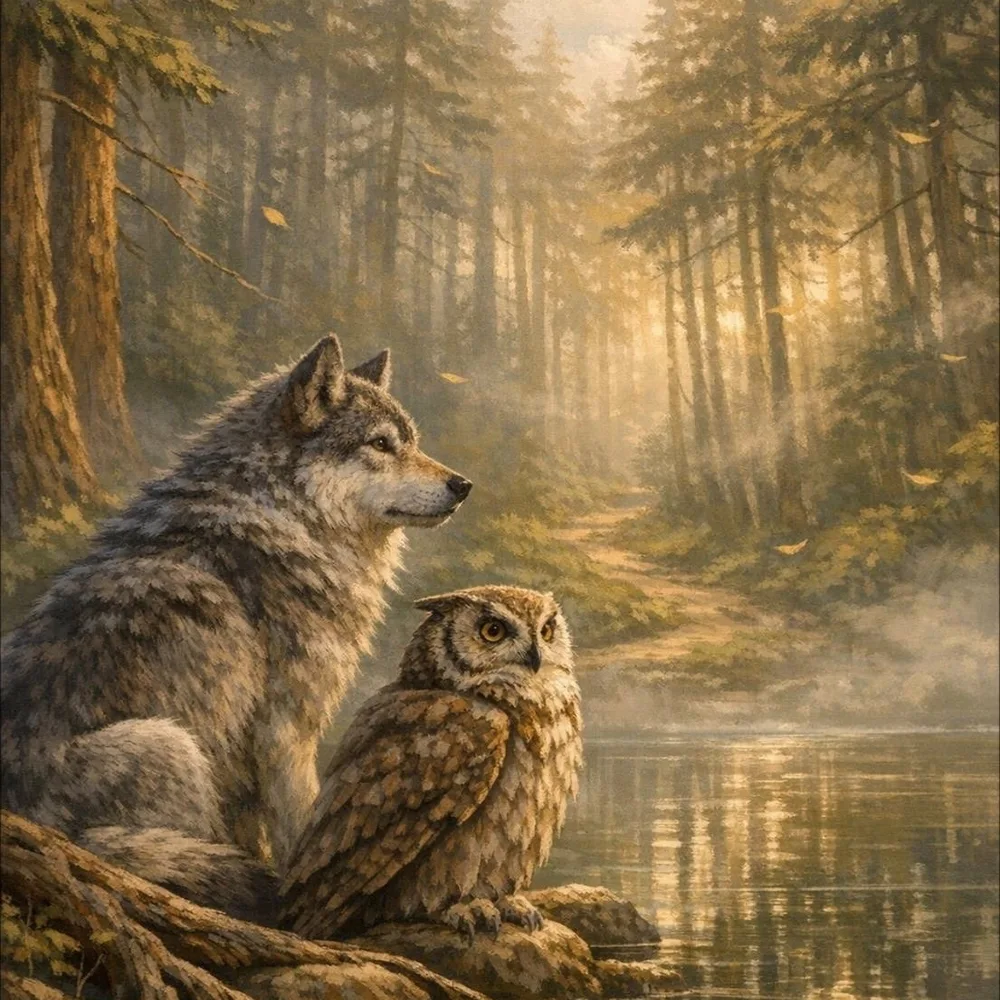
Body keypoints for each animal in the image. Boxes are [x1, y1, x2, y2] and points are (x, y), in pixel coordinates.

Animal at [0, 334, 472, 914]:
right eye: (381, 445)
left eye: (410, 443)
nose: (463, 485)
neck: (284, 518)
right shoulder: (285, 731)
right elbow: (301, 829)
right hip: (170, 743)